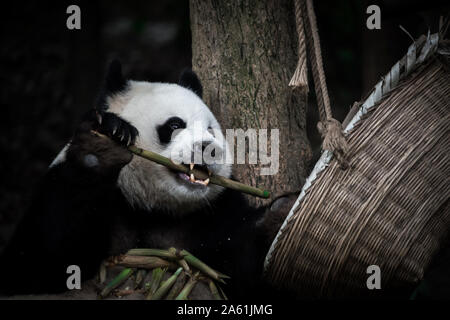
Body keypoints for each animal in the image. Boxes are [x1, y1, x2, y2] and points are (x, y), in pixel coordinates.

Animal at [0, 61, 296, 298]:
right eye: (175, 125)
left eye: (211, 129)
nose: (209, 147)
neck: (151, 208)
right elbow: (36, 265)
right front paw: (102, 145)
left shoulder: (212, 216)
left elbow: (242, 273)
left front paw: (280, 215)